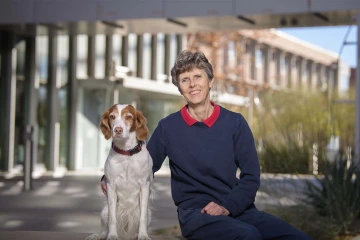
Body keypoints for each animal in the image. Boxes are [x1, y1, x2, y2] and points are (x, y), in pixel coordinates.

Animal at [86, 104, 153, 240]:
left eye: (129, 116)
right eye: (112, 116)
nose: (117, 130)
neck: (126, 152)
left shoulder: (145, 186)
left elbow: (142, 218)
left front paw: (143, 235)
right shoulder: (111, 186)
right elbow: (113, 219)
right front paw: (112, 235)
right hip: (104, 211)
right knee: (104, 229)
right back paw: (97, 235)